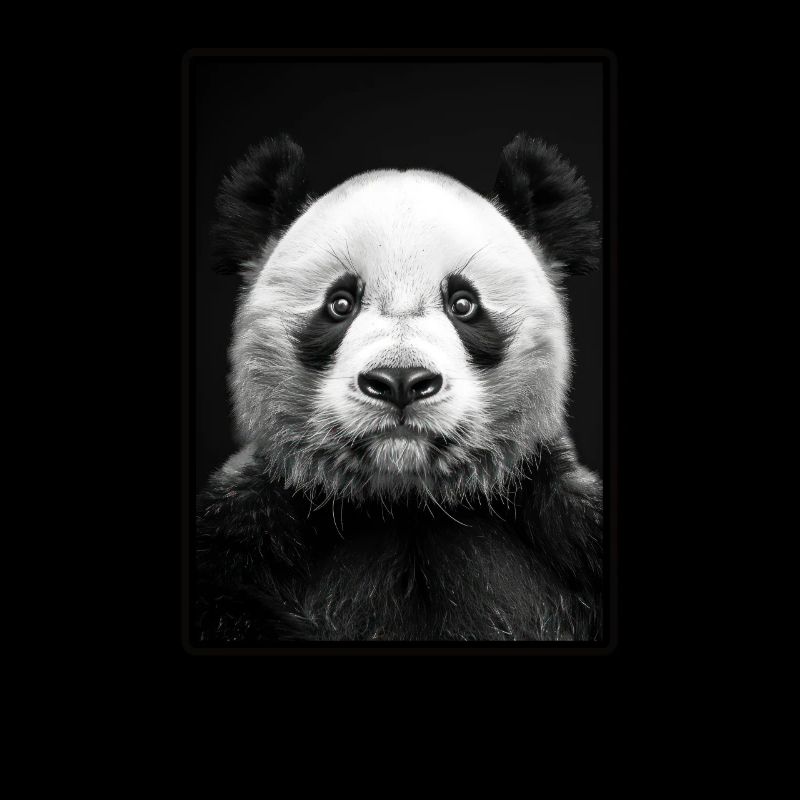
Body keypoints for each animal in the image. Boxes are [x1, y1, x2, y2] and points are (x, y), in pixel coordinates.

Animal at [194, 132, 603, 643]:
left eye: (464, 304)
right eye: (340, 303)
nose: (401, 382)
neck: (406, 506)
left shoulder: (561, 521)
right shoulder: (250, 526)